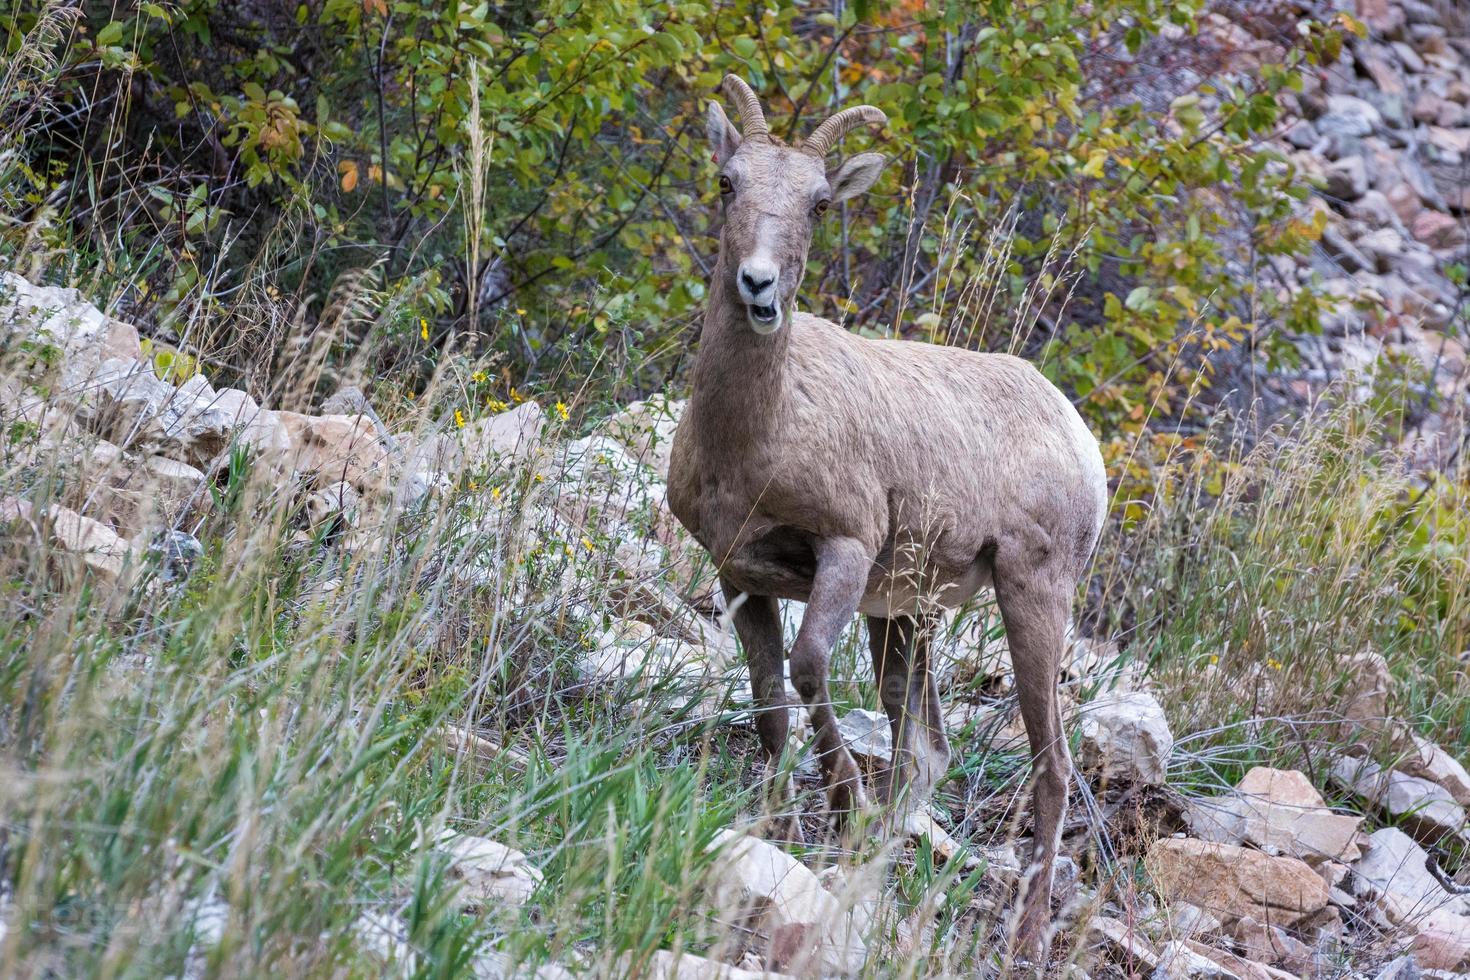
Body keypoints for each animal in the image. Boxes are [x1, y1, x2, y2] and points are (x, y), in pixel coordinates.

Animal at [667, 74, 1105, 952]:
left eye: (820, 202)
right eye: (727, 183)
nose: (758, 287)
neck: (753, 437)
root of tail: (1080, 440)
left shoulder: (845, 552)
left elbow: (806, 668)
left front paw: (842, 808)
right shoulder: (740, 577)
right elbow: (769, 701)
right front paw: (775, 826)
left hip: (1031, 596)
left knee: (1052, 766)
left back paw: (1028, 935)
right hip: (906, 616)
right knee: (926, 752)